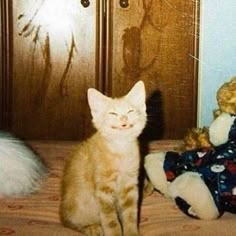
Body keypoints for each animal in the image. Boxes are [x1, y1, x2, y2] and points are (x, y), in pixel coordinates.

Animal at [60, 81, 147, 236]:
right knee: (69, 223)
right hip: (76, 208)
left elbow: (130, 214)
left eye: (130, 111)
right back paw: (91, 228)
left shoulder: (130, 185)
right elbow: (110, 219)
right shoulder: (103, 189)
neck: (120, 149)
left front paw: (131, 232)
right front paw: (115, 233)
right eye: (113, 113)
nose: (124, 119)